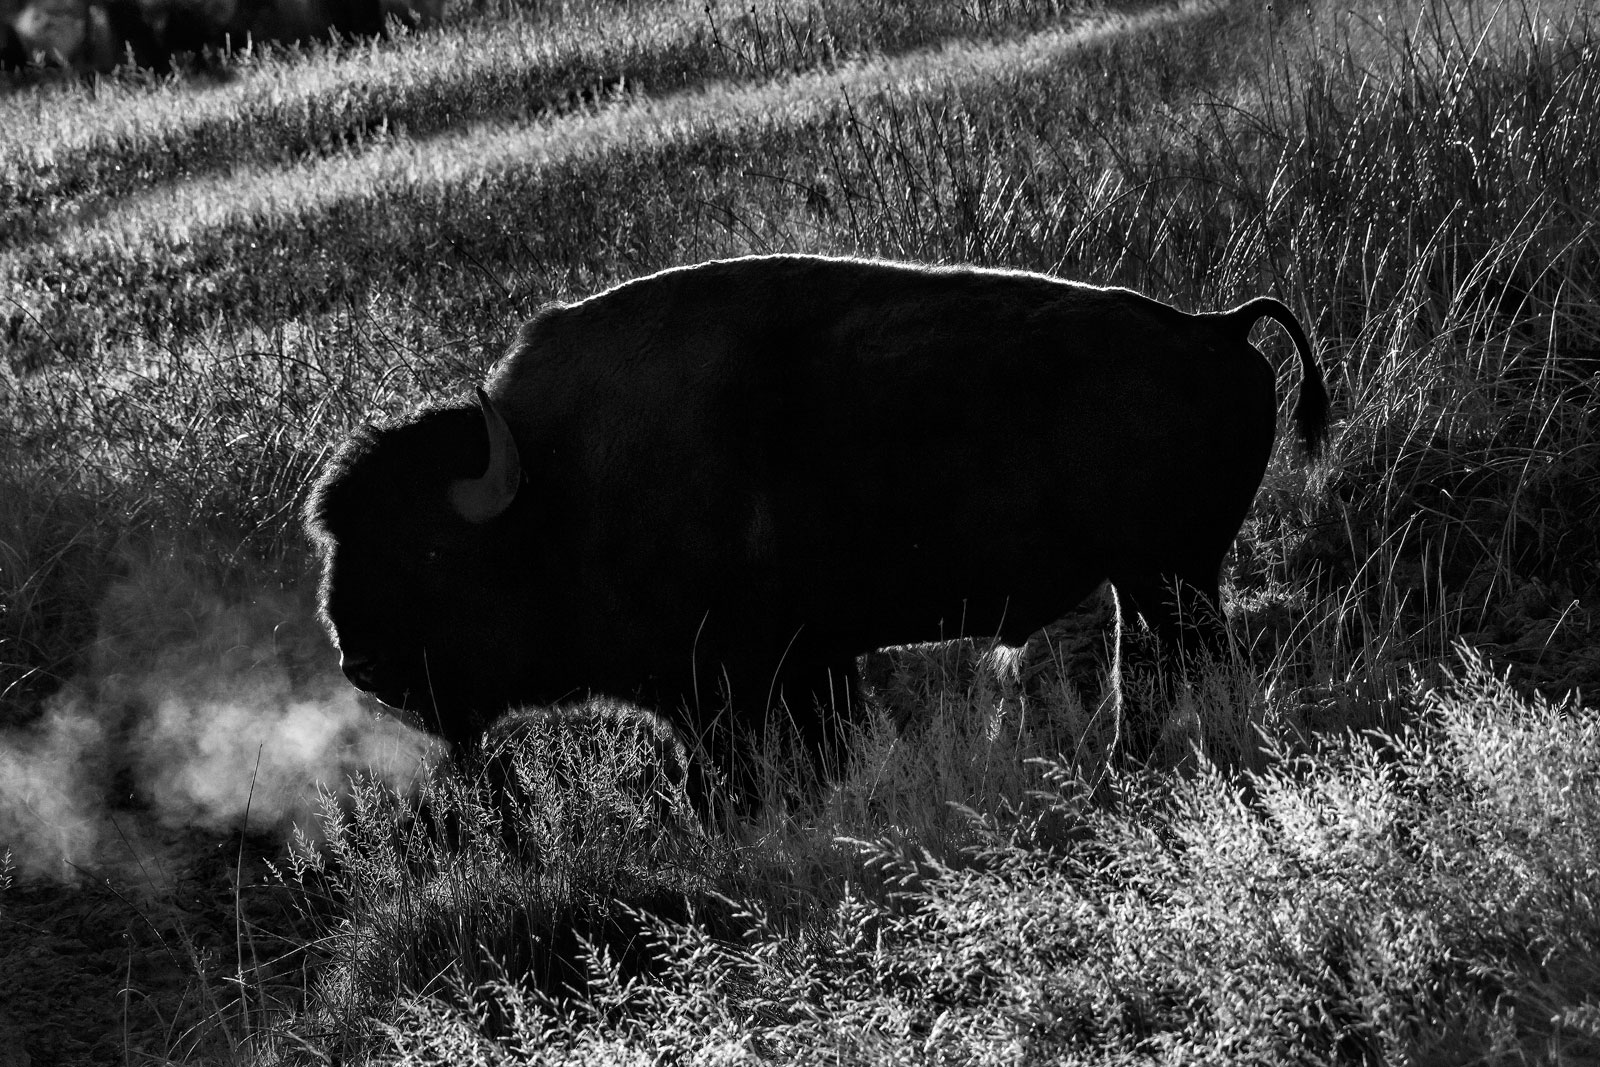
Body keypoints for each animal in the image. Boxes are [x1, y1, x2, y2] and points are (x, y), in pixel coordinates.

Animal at [306, 254, 1329, 798]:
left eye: (430, 550)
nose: (360, 661)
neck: (558, 482)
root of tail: (1219, 327)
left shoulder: (744, 680)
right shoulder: (802, 667)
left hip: (1172, 572)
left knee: (1186, 662)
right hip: (1143, 576)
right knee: (1145, 670)